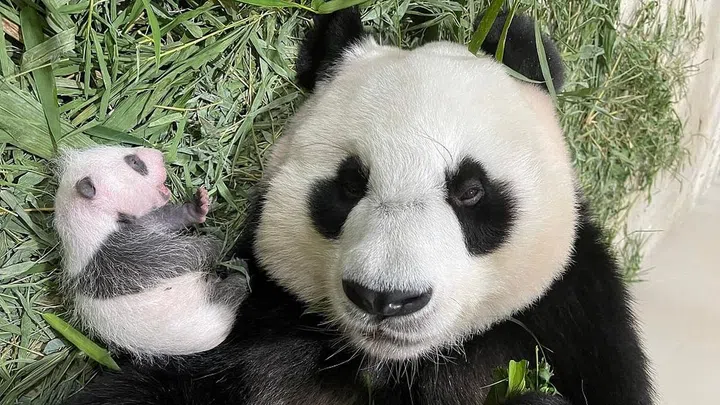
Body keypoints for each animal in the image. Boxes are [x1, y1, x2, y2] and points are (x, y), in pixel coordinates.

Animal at [66, 8, 652, 405]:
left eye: (470, 191)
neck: (385, 362)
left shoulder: (574, 316)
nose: (385, 299)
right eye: (349, 185)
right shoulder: (253, 325)